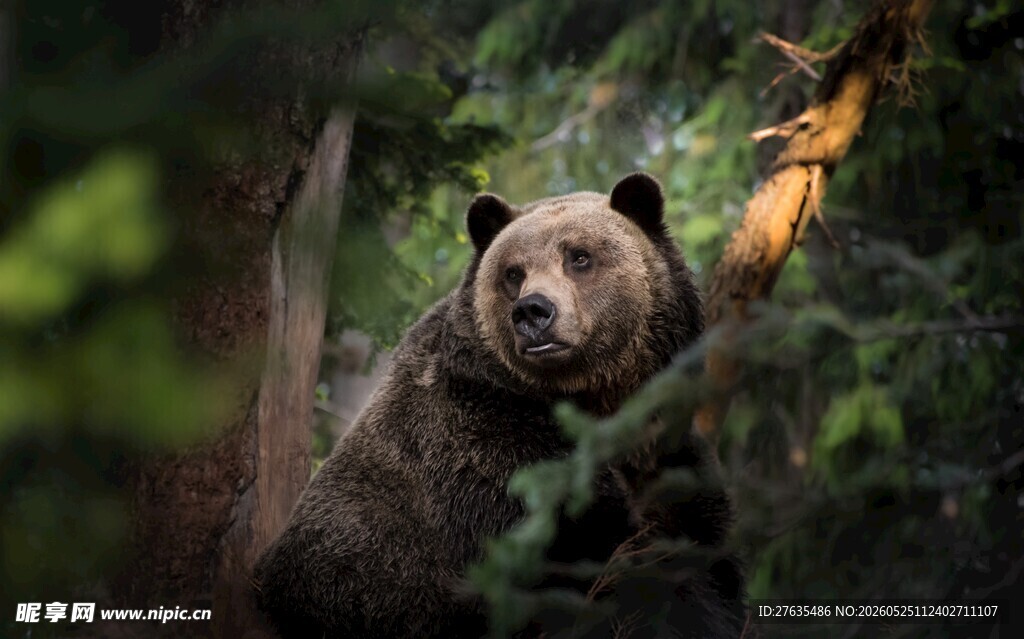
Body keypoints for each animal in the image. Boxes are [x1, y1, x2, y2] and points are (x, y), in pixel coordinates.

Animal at [252, 172, 744, 638]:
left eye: (579, 256)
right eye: (513, 272)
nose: (533, 311)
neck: (592, 403)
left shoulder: (669, 458)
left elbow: (703, 555)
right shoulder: (486, 455)